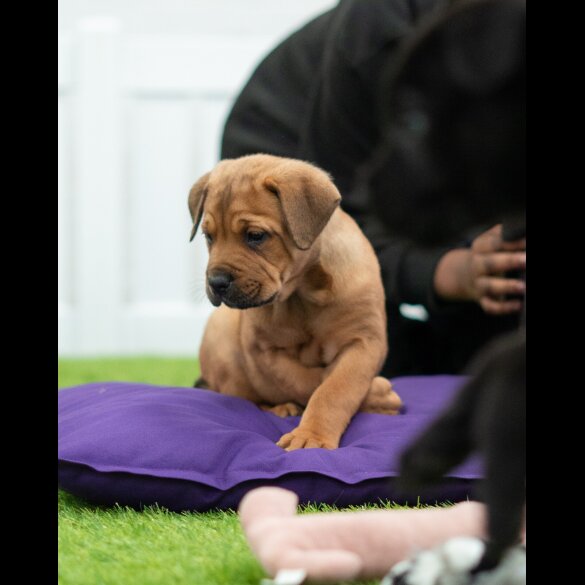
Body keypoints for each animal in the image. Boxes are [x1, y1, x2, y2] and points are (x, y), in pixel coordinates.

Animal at [189, 153, 400, 450]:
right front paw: (378, 394)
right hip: (223, 335)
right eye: (209, 236)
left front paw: (312, 435)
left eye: (256, 236)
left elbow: (335, 388)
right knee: (244, 395)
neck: (303, 293)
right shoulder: (263, 350)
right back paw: (281, 407)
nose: (217, 282)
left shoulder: (363, 340)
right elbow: (306, 380)